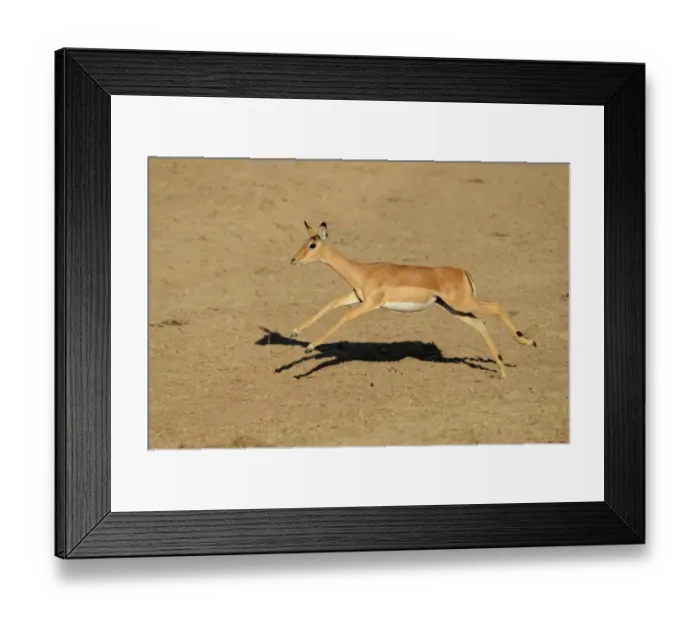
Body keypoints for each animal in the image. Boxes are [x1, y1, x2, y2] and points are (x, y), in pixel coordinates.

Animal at [289, 221, 537, 377]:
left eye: (312, 244)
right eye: (304, 242)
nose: (293, 260)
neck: (363, 272)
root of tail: (462, 272)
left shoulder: (370, 304)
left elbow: (344, 317)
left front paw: (309, 347)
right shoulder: (357, 297)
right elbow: (330, 304)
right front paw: (294, 333)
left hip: (463, 304)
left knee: (495, 307)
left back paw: (527, 343)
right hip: (453, 308)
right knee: (480, 323)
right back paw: (502, 369)